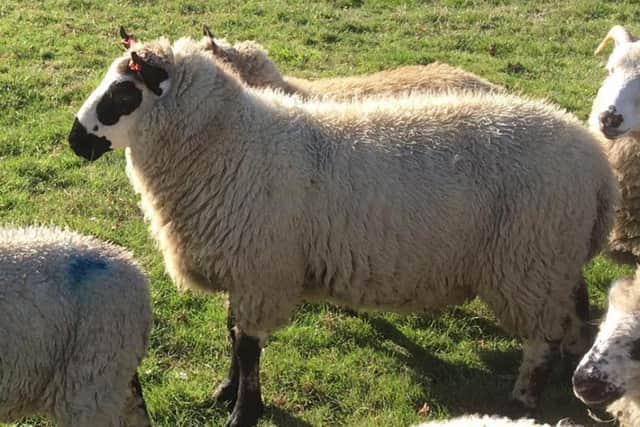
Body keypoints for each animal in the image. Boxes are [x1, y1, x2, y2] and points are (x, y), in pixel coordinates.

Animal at [67, 35, 617, 427]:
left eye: (123, 91)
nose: (75, 141)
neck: (231, 144)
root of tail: (596, 163)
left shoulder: (263, 270)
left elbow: (248, 347)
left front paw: (244, 413)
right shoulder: (244, 267)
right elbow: (232, 334)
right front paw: (226, 392)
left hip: (529, 262)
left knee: (539, 341)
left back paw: (524, 399)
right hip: (553, 257)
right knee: (571, 305)